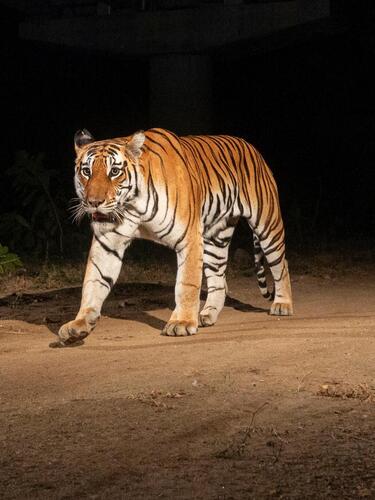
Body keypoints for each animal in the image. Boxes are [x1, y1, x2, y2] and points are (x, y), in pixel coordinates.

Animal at [54, 128, 294, 348]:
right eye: (86, 171)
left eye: (114, 171)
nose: (94, 202)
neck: (132, 206)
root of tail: (250, 146)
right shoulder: (108, 243)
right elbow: (93, 283)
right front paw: (79, 324)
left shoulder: (190, 238)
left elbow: (186, 284)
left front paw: (182, 323)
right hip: (215, 238)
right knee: (218, 280)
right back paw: (207, 314)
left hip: (267, 224)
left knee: (280, 264)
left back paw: (283, 305)